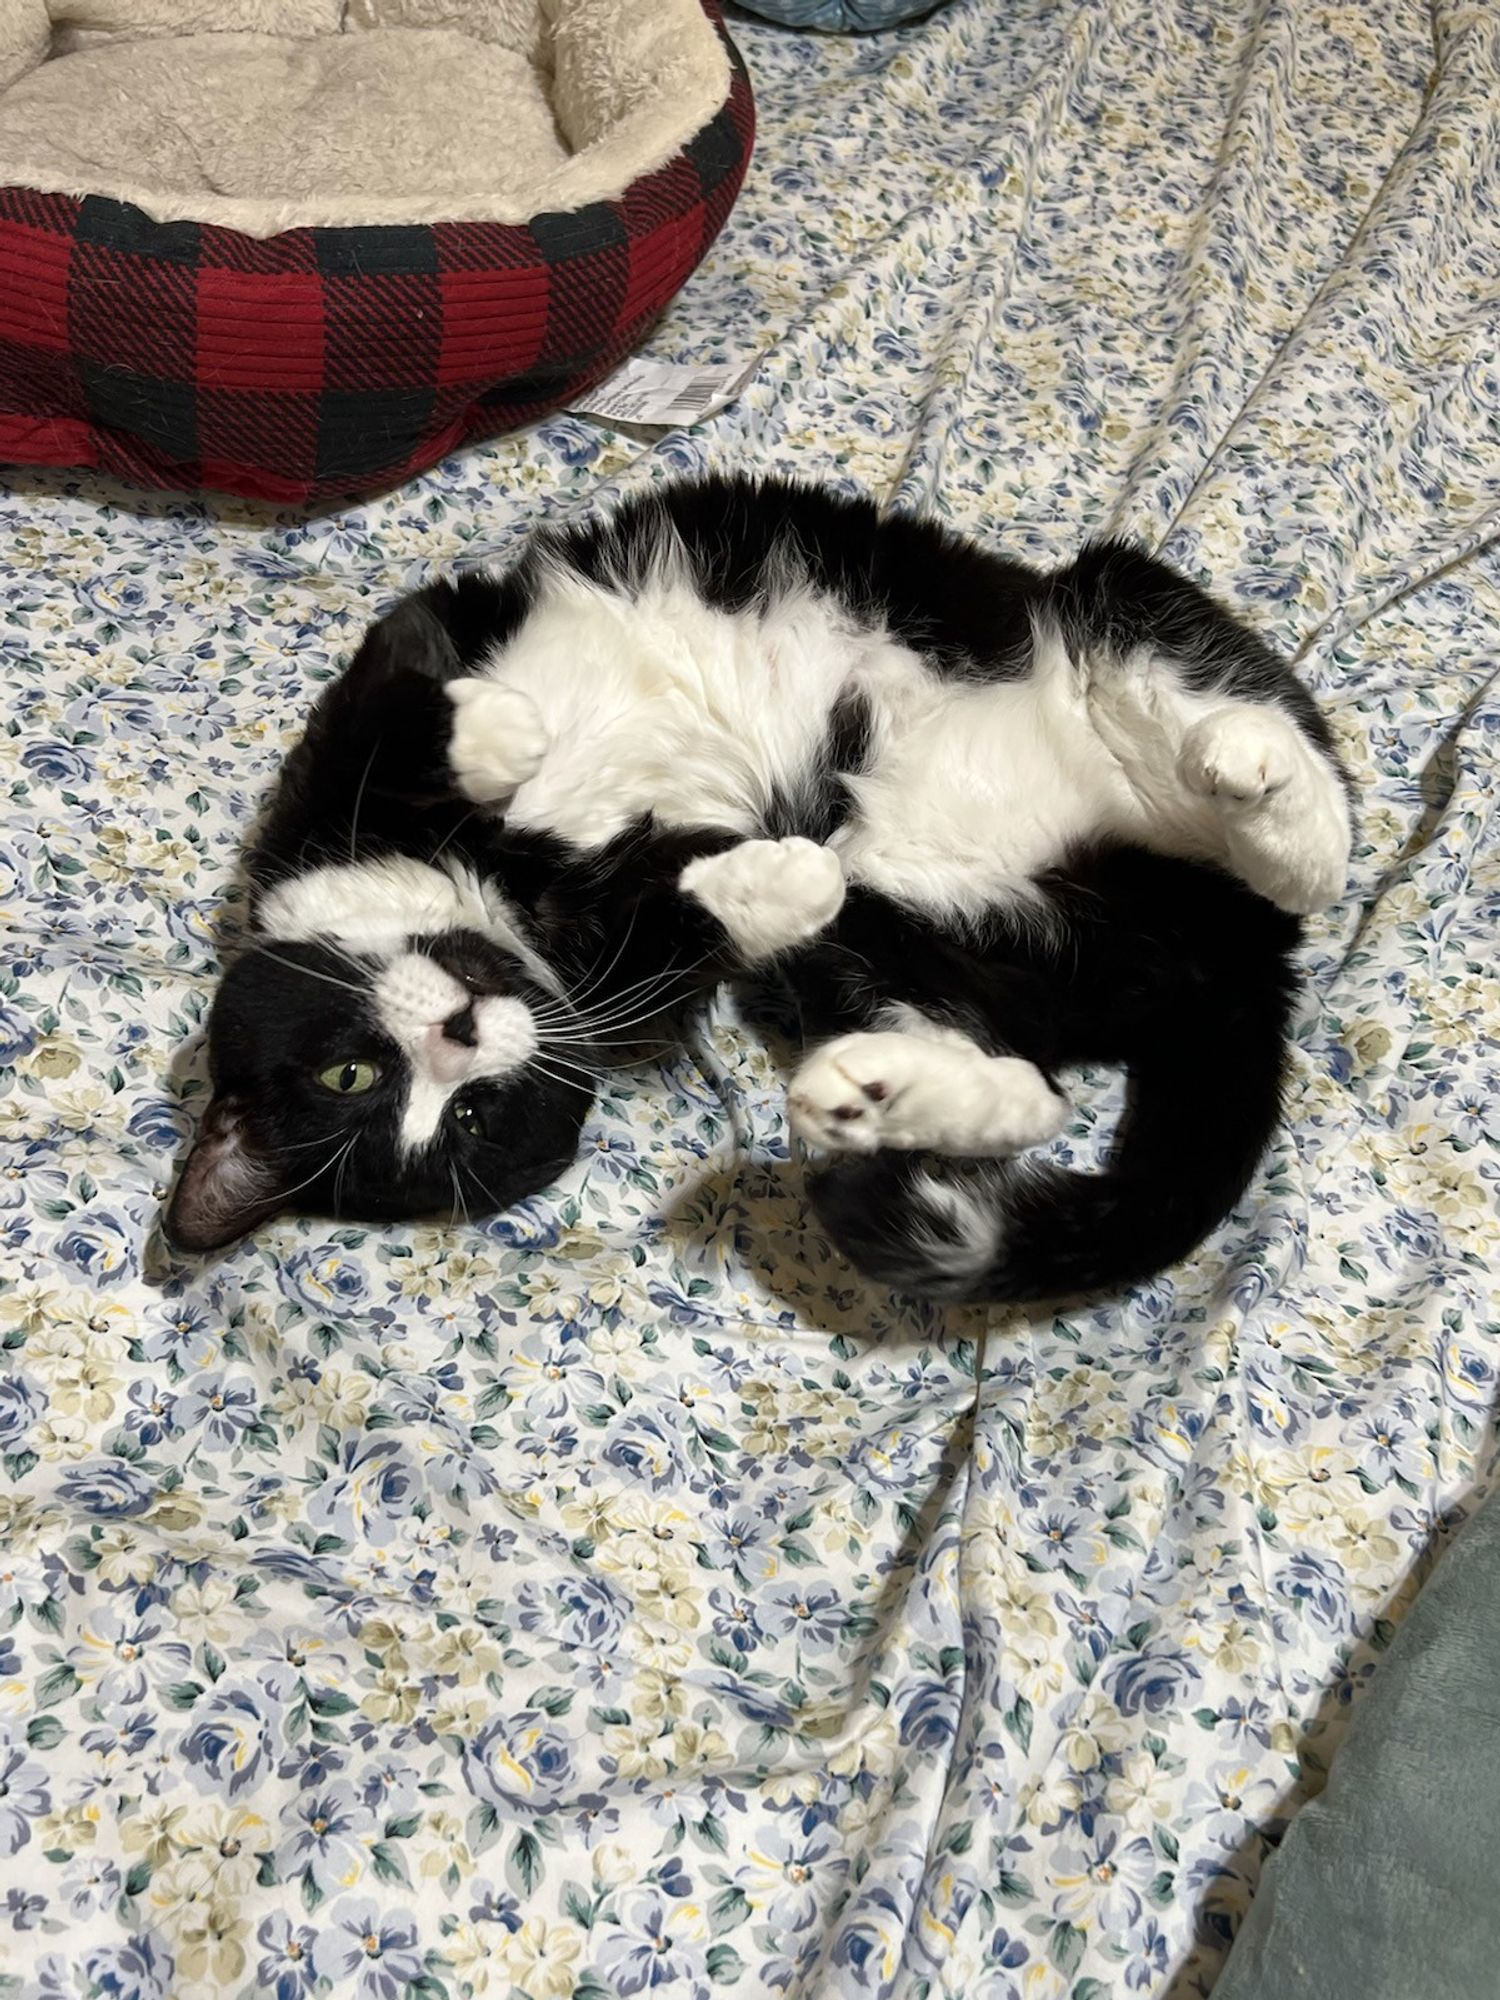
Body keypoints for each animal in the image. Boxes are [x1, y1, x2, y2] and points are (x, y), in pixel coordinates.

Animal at [170, 476, 1360, 1304]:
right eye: (461, 1116)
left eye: (349, 1071)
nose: (462, 1037)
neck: (509, 887)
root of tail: (1238, 969)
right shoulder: (613, 983)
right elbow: (676, 930)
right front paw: (776, 876)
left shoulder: (380, 690)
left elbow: (404, 700)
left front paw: (499, 735)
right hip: (921, 945)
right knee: (1026, 1084)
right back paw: (867, 1091)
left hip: (1113, 598)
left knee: (1283, 796)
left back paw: (1256, 771)